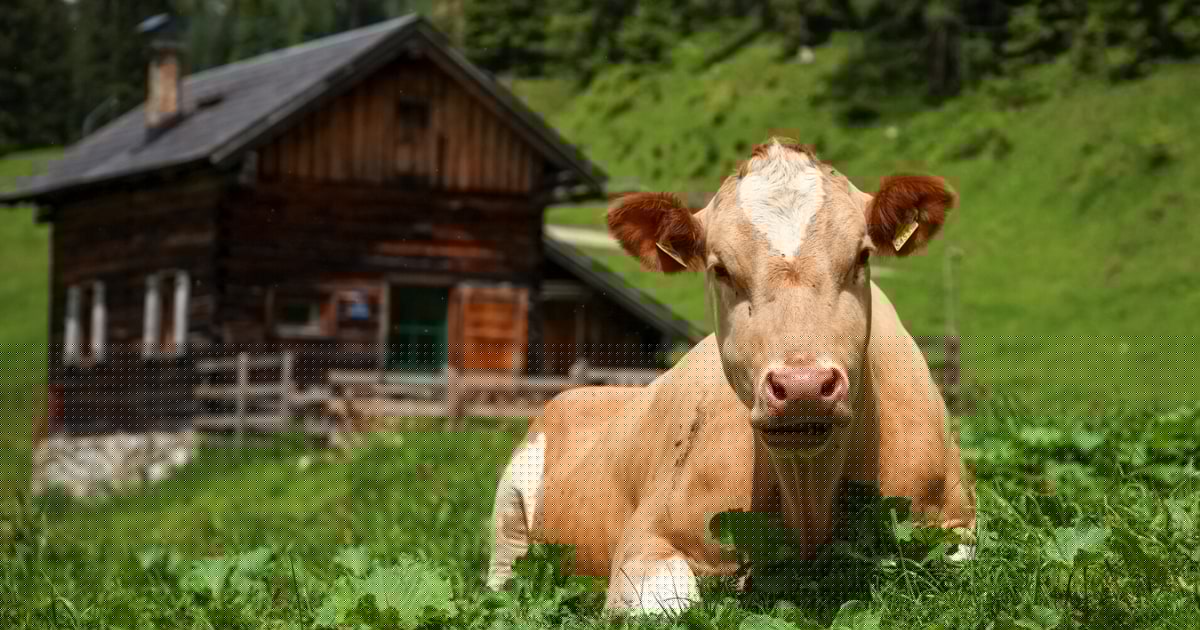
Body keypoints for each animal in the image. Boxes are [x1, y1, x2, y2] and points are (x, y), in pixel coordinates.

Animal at [486, 138, 977, 615]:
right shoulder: (646, 538)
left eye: (861, 256)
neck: (810, 494)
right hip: (508, 512)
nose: (802, 387)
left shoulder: (957, 523)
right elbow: (672, 607)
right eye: (720, 268)